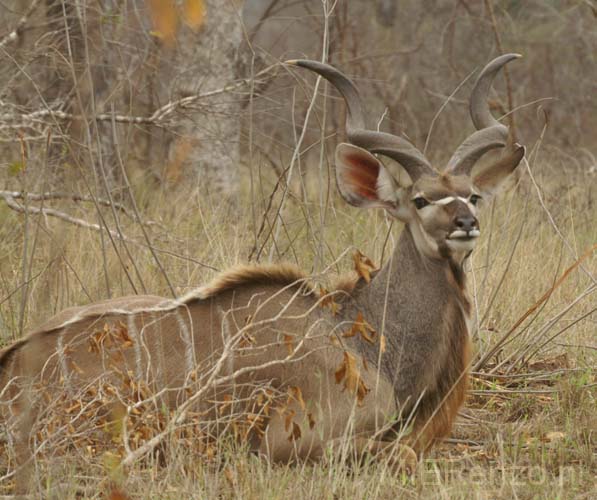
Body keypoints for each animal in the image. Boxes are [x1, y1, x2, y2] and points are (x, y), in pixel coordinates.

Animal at [0, 55, 520, 472]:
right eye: (420, 199)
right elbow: (403, 453)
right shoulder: (290, 441)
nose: (466, 222)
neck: (366, 337)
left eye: (473, 194)